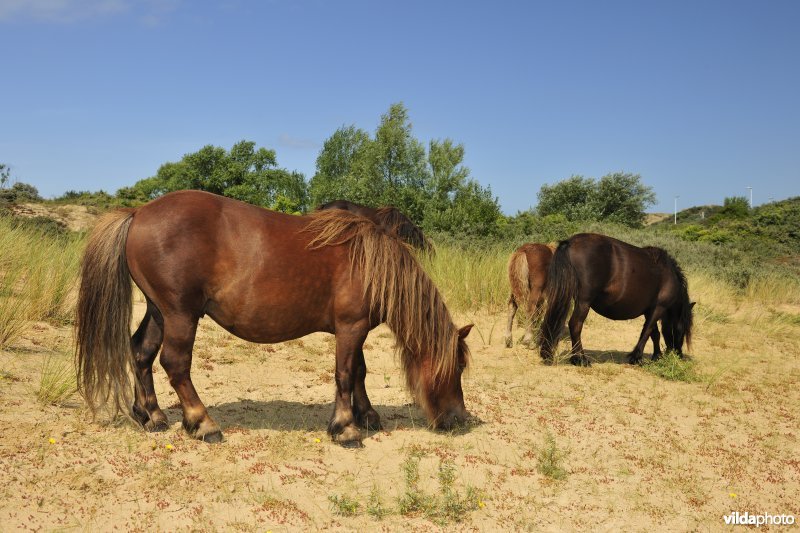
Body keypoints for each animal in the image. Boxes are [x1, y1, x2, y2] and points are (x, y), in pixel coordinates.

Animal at [75, 190, 472, 446]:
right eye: (457, 367)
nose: (459, 419)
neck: (371, 262)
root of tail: (138, 213)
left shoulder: (353, 330)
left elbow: (358, 371)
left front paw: (365, 415)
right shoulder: (350, 328)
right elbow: (345, 374)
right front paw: (346, 428)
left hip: (159, 311)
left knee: (140, 352)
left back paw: (152, 416)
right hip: (180, 314)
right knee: (175, 364)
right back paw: (203, 424)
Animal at [539, 233, 693, 366]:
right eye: (682, 329)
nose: (678, 354)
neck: (669, 274)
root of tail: (571, 242)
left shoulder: (650, 310)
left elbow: (654, 333)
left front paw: (656, 356)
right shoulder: (659, 308)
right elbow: (647, 331)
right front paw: (637, 357)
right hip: (584, 302)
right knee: (576, 325)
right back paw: (580, 359)